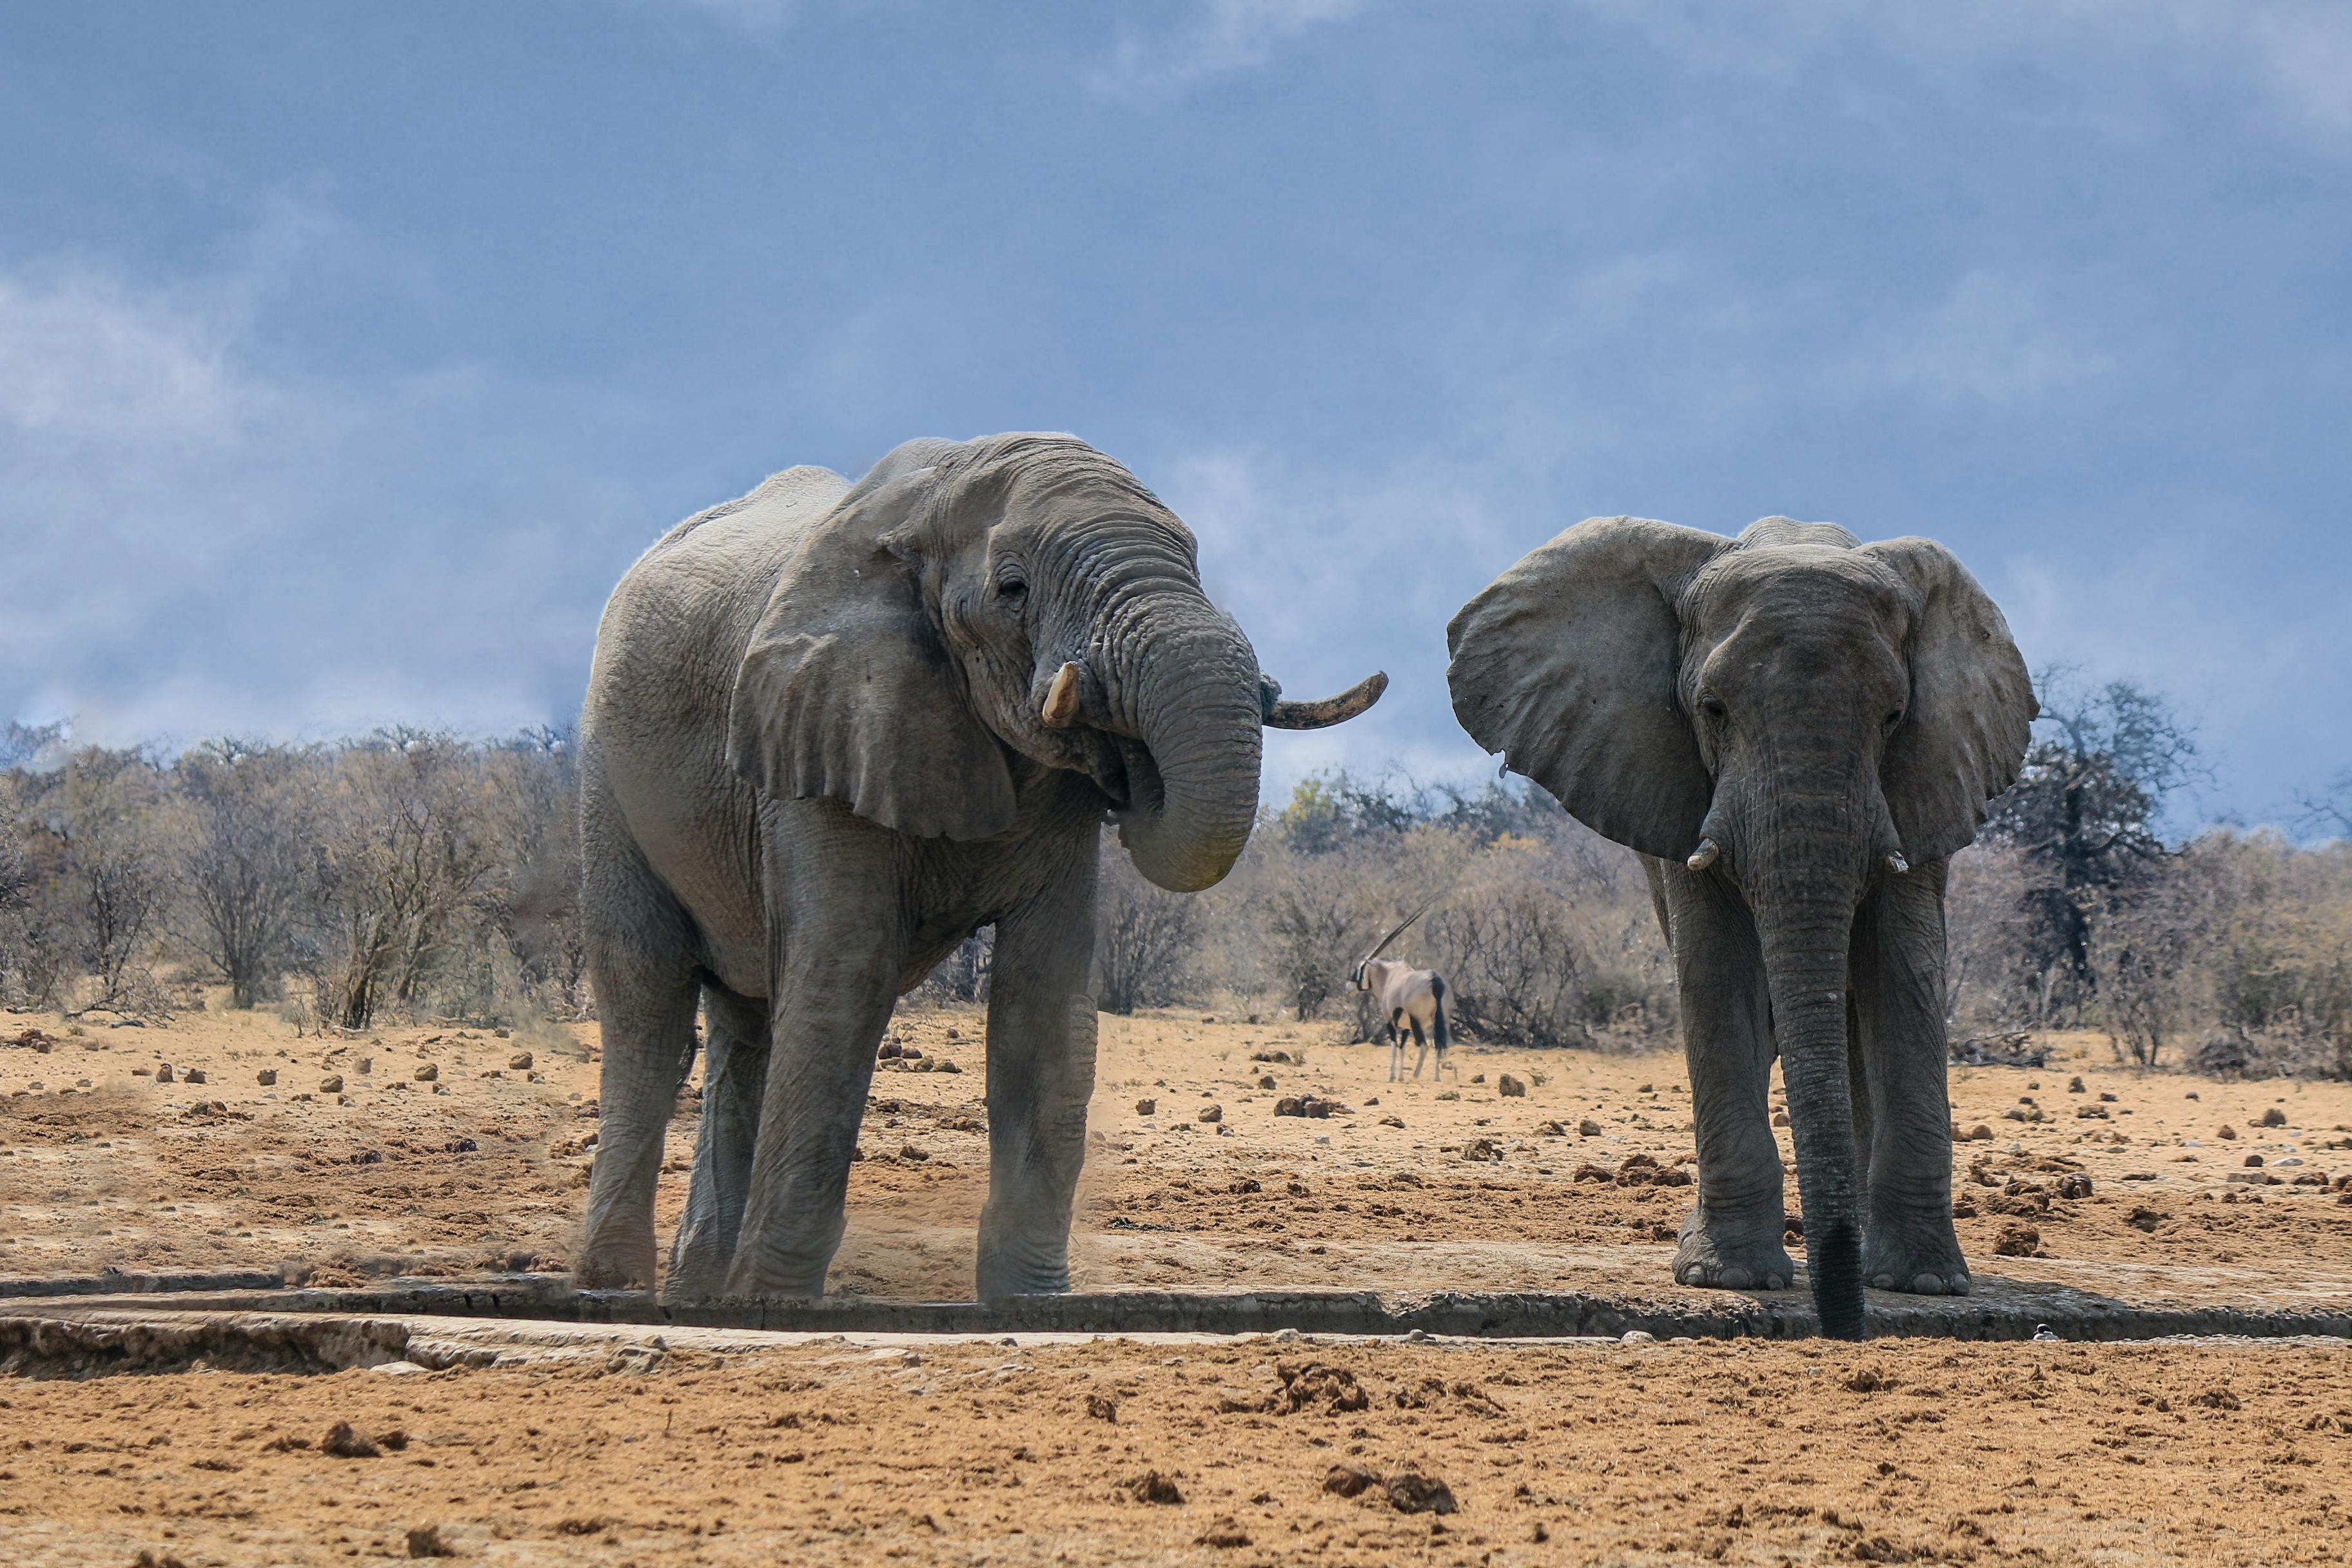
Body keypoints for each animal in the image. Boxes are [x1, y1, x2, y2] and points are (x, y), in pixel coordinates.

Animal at [574, 435, 1373, 1307]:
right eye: (1012, 588)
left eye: (1196, 564)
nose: (1129, 764)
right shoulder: (820, 728)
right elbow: (846, 976)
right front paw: (774, 1301)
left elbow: (1045, 1001)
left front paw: (1032, 1301)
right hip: (607, 776)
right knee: (648, 1011)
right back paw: (617, 1289)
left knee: (742, 1030)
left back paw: (696, 1293)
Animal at [1355, 907, 1439, 1081]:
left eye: (1361, 968)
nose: (1357, 985)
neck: (1389, 975)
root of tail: (1434, 984)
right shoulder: (1406, 1027)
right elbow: (1403, 1048)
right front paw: (1400, 1077)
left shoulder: (1389, 1021)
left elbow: (1394, 1046)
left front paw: (1393, 1076)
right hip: (1437, 1020)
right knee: (1439, 1045)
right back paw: (1437, 1078)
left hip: (1417, 1021)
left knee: (1425, 1046)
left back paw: (1416, 1075)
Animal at [1439, 514, 2032, 1335]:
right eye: (1713, 709)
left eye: (1893, 716)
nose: (1843, 1328)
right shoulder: (1675, 786)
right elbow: (1719, 976)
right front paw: (1728, 1278)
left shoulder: (1926, 779)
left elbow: (1903, 977)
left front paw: (1928, 1285)